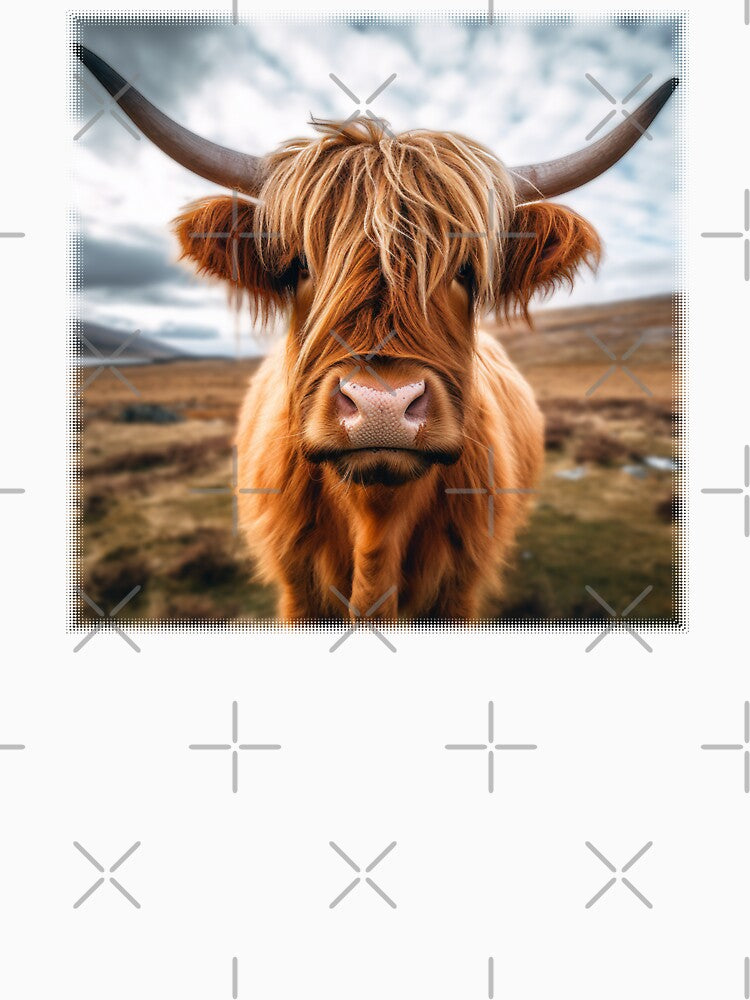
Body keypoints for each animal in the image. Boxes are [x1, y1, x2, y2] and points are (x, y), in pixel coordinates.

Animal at [77, 46, 677, 622]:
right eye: (297, 266)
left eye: (466, 271)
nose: (382, 405)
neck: (376, 531)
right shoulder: (298, 590)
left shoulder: (459, 591)